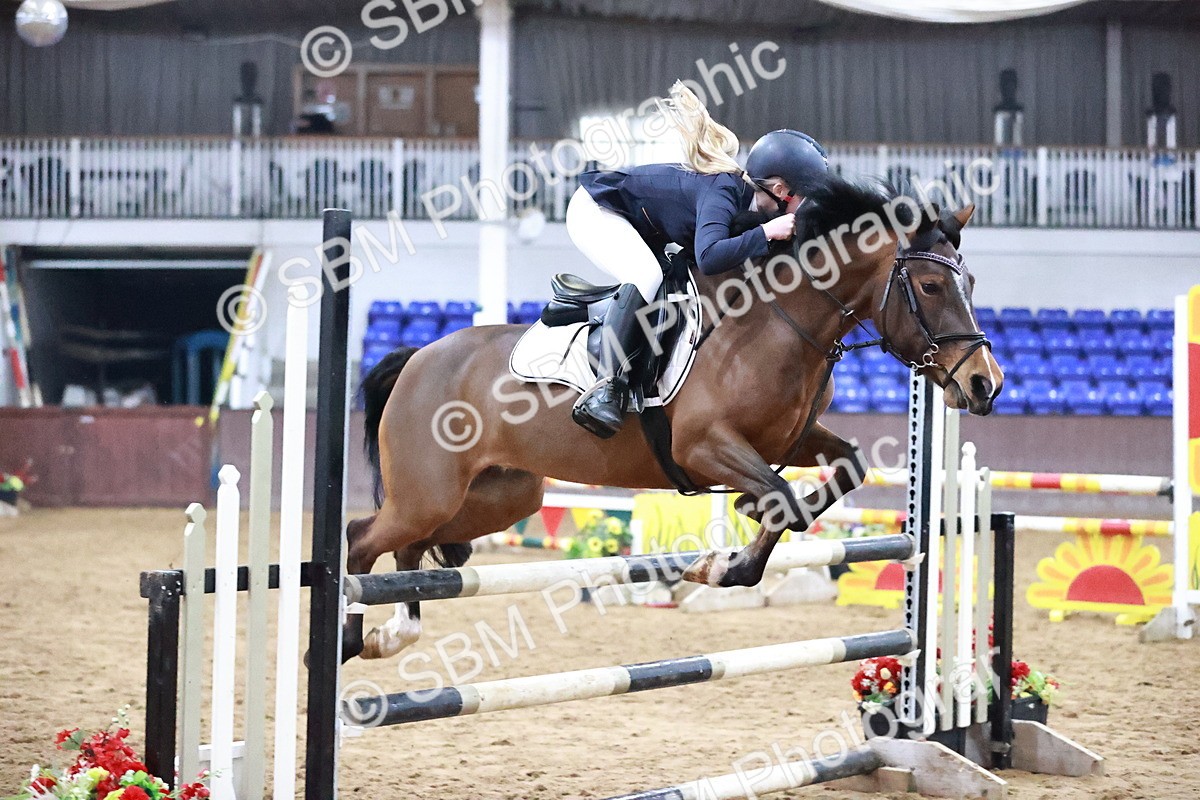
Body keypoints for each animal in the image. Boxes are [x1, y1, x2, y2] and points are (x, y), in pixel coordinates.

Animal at [343, 177, 1004, 661]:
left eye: (972, 280)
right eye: (930, 285)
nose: (985, 384)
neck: (775, 322)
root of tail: (418, 356)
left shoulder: (788, 440)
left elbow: (837, 474)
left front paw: (730, 549)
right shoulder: (703, 446)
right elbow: (782, 497)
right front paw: (724, 556)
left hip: (502, 496)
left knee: (415, 546)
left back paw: (394, 632)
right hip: (428, 492)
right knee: (361, 540)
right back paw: (352, 641)